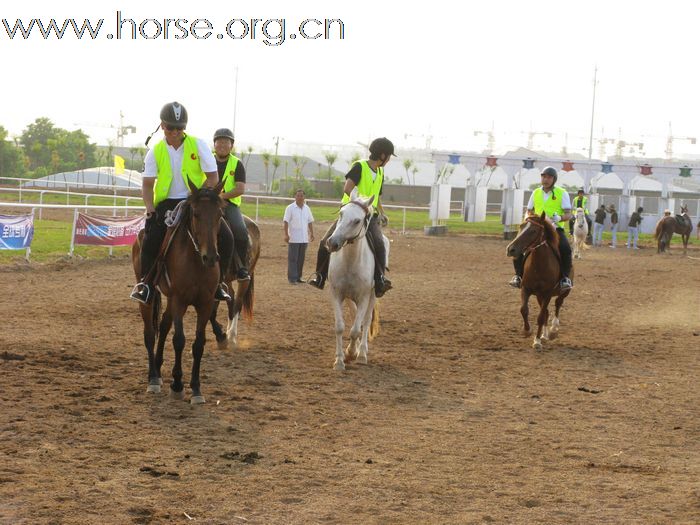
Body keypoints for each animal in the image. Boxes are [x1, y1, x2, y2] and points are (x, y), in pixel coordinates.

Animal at [133, 182, 226, 404]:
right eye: (196, 214)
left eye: (220, 214)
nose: (211, 257)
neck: (196, 261)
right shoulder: (179, 300)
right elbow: (179, 340)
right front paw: (177, 384)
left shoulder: (205, 303)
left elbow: (198, 343)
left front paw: (196, 388)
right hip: (149, 299)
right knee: (150, 334)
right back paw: (153, 378)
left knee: (163, 326)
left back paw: (158, 370)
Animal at [211, 215, 262, 350]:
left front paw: (223, 338)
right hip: (227, 281)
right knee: (231, 300)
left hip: (245, 277)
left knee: (237, 302)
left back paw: (232, 337)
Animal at [326, 191, 386, 368]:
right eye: (341, 214)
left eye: (357, 220)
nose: (332, 242)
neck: (350, 262)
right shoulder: (337, 294)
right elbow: (340, 327)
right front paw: (340, 360)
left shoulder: (364, 297)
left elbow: (355, 330)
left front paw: (352, 353)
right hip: (349, 298)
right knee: (355, 319)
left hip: (372, 296)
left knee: (365, 322)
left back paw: (362, 353)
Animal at [508, 211, 576, 350]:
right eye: (521, 226)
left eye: (533, 230)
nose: (511, 249)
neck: (538, 266)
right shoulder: (525, 289)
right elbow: (524, 310)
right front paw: (527, 331)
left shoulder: (547, 293)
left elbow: (540, 316)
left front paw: (537, 341)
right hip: (539, 296)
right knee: (547, 312)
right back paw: (545, 335)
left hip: (563, 292)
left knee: (558, 304)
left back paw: (553, 330)